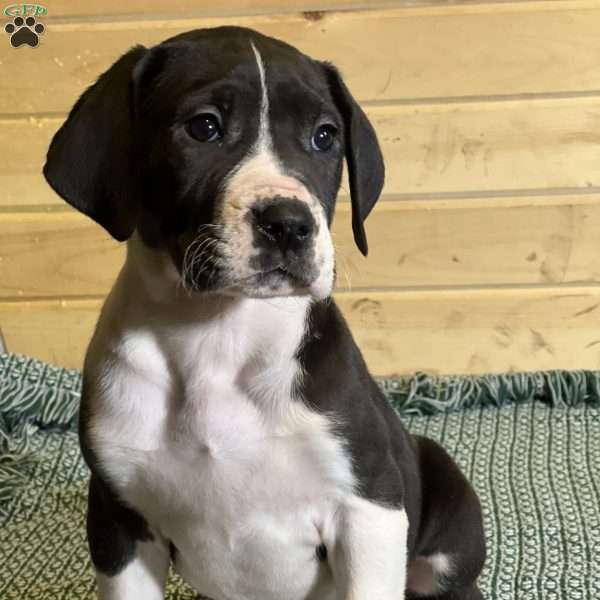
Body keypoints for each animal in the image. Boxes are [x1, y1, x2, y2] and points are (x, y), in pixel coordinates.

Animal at [45, 25, 488, 596]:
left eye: (324, 136)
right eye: (204, 127)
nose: (289, 224)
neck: (218, 336)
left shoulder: (369, 506)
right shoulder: (119, 521)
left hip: (442, 501)